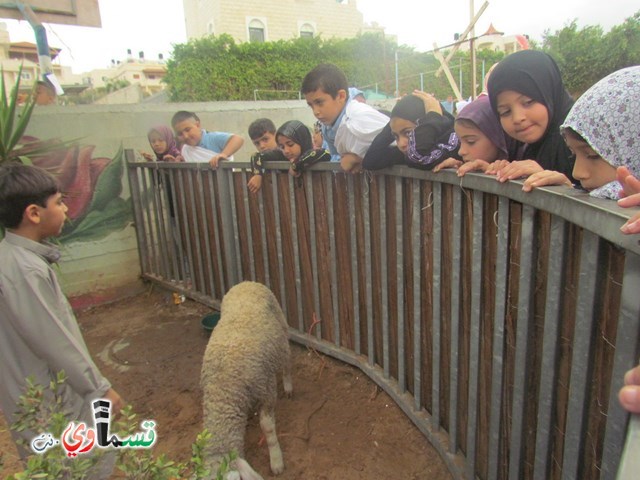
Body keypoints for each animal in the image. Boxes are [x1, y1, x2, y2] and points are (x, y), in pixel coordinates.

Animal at [200, 282, 292, 480]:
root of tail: (246, 283)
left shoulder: (267, 390)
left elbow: (267, 427)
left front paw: (276, 461)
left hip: (281, 329)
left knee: (287, 361)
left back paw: (288, 385)